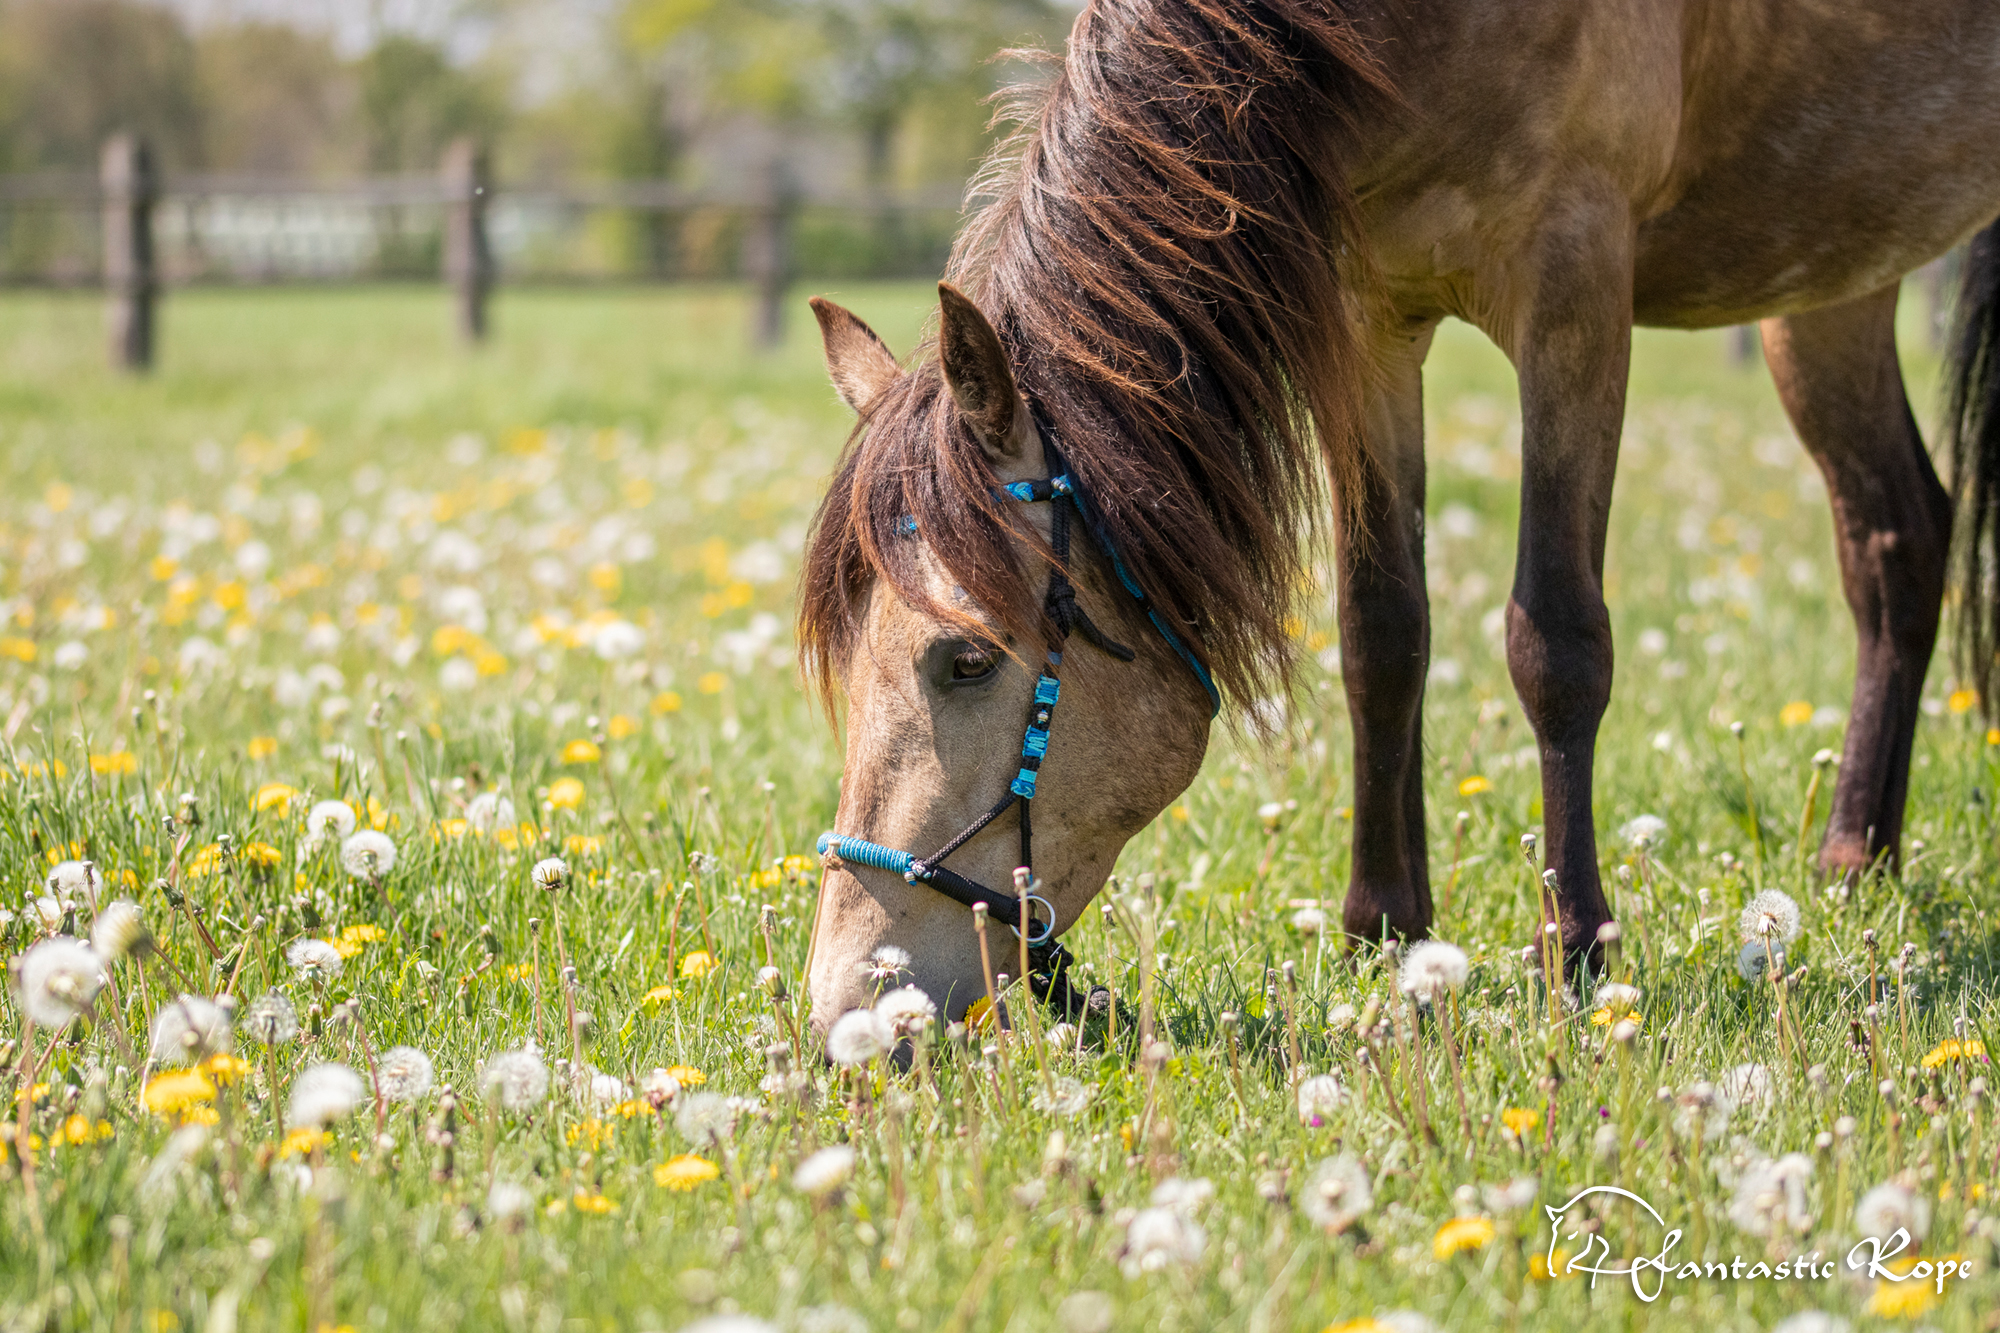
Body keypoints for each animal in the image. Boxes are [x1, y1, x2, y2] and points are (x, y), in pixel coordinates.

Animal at [788, 0, 2000, 1024]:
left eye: (964, 661)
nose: (851, 1006)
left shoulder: (1573, 285)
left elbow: (1556, 640)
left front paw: (1575, 946)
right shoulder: (1371, 318)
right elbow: (1380, 632)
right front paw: (1382, 927)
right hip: (1834, 269)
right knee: (1895, 537)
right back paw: (1854, 860)